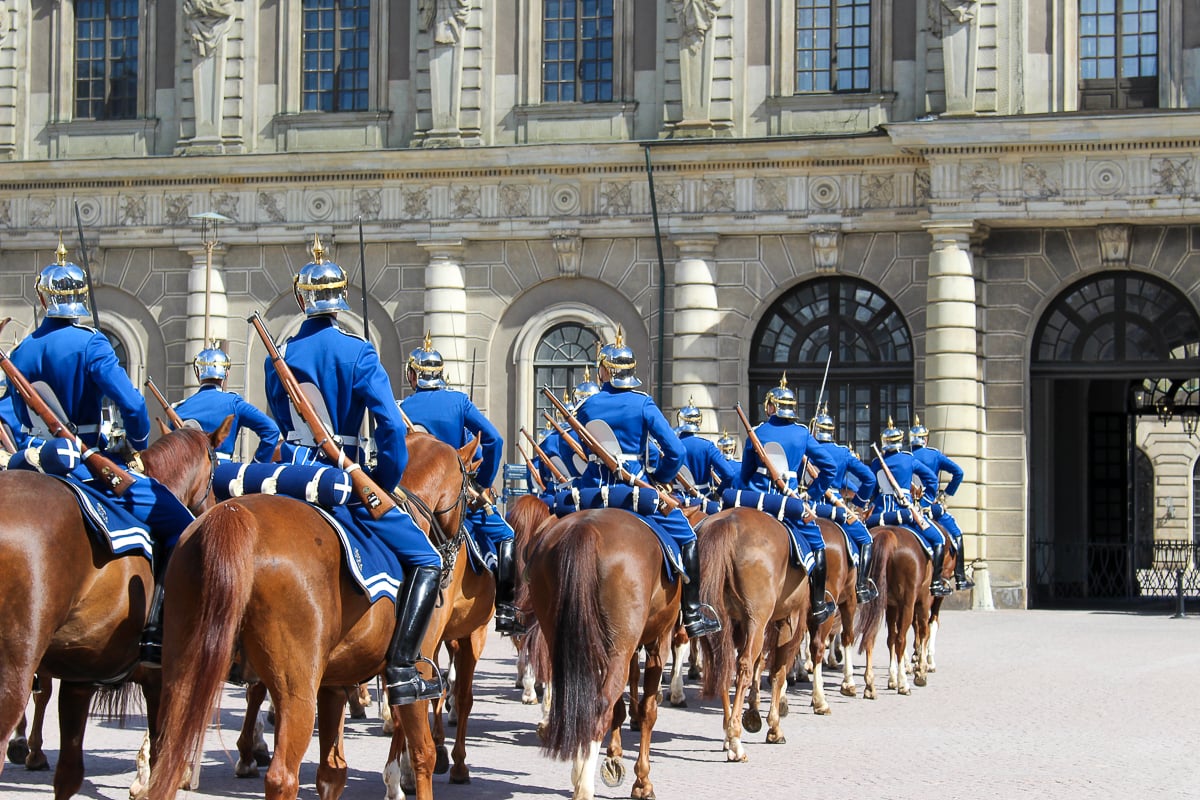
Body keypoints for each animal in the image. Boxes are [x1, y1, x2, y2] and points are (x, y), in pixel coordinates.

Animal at [0, 422, 226, 796]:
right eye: (215, 469)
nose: (214, 506)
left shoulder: (80, 678)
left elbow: (70, 773)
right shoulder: (161, 679)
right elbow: (161, 747)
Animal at [145, 431, 472, 800]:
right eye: (468, 487)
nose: (454, 551)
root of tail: (233, 515)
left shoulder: (332, 684)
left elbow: (332, 773)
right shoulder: (415, 670)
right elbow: (422, 754)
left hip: (183, 672)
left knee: (166, 761)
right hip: (296, 692)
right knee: (282, 776)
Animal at [528, 510, 686, 796]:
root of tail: (585, 528)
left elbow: (622, 703)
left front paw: (615, 753)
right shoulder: (658, 640)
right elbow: (648, 710)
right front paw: (642, 781)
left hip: (565, 642)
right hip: (619, 649)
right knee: (599, 706)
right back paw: (583, 786)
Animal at [696, 506, 806, 762]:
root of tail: (728, 521)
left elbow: (760, 665)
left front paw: (753, 713)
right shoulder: (788, 620)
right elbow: (777, 673)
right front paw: (774, 727)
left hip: (723, 620)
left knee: (723, 665)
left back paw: (728, 733)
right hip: (757, 619)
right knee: (743, 667)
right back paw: (735, 741)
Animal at [854, 522, 936, 695]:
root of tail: (887, 534)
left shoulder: (891, 605)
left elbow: (890, 638)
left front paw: (893, 678)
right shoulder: (923, 600)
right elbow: (924, 632)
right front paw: (920, 672)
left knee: (870, 637)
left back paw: (869, 684)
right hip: (908, 604)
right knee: (901, 640)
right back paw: (904, 683)